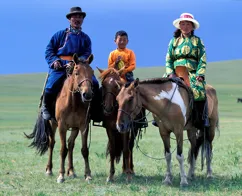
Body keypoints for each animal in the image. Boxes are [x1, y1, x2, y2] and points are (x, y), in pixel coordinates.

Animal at [25, 53, 94, 182]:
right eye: (76, 72)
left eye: (92, 72)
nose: (87, 94)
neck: (73, 102)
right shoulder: (62, 126)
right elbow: (63, 150)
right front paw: (61, 175)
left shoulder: (83, 126)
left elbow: (84, 150)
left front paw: (88, 175)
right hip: (53, 124)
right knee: (52, 144)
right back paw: (49, 170)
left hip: (75, 128)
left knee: (71, 145)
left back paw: (71, 171)